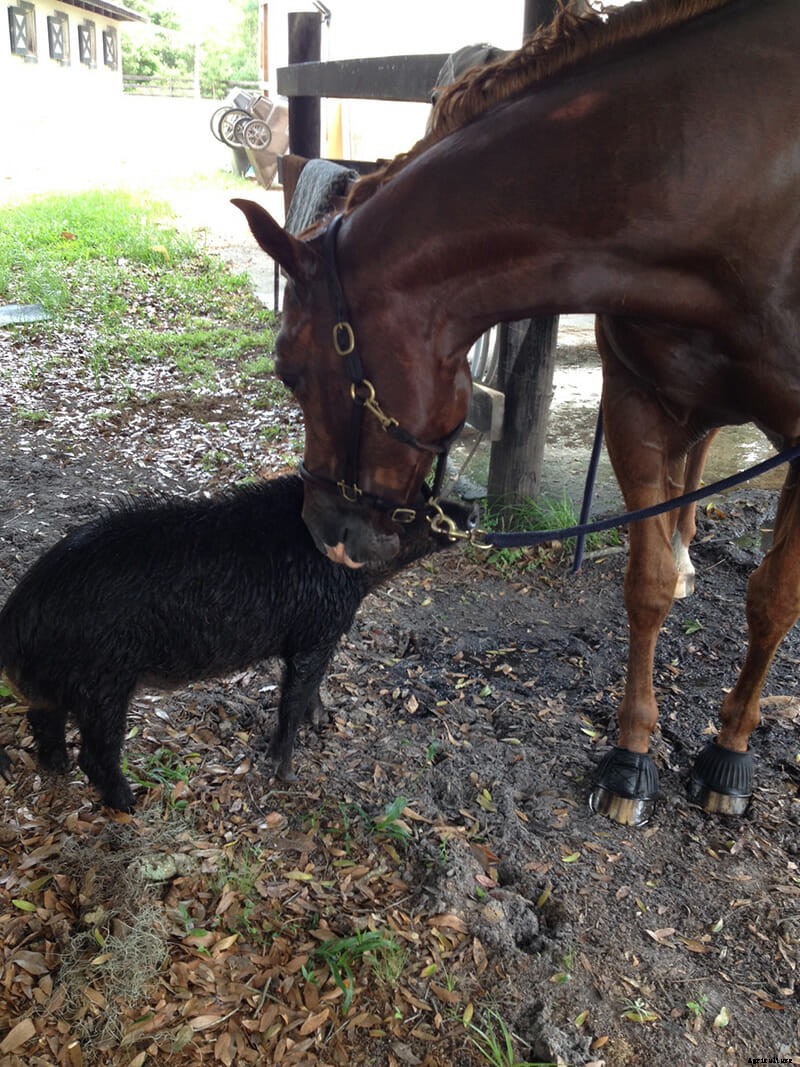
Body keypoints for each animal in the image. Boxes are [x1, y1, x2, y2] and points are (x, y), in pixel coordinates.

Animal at [234, 0, 800, 826]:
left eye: (290, 368)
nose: (322, 531)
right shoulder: (635, 401)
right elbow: (647, 583)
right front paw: (631, 756)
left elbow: (773, 597)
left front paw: (729, 753)